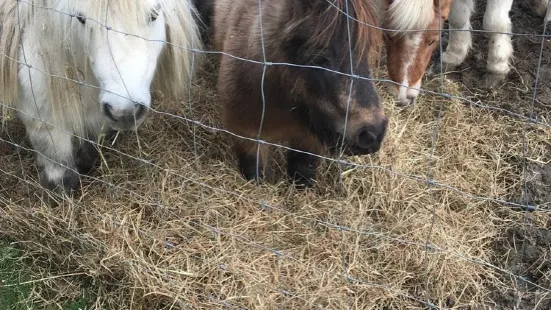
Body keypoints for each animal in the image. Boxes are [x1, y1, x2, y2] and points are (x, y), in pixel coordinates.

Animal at [0, 0, 203, 194]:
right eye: (81, 18)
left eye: (154, 15)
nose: (124, 112)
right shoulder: (43, 120)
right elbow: (61, 174)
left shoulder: (97, 117)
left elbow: (89, 147)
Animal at [207, 0, 388, 186]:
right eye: (319, 57)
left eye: (368, 51)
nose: (372, 134)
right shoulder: (247, 134)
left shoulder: (308, 140)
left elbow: (302, 171)